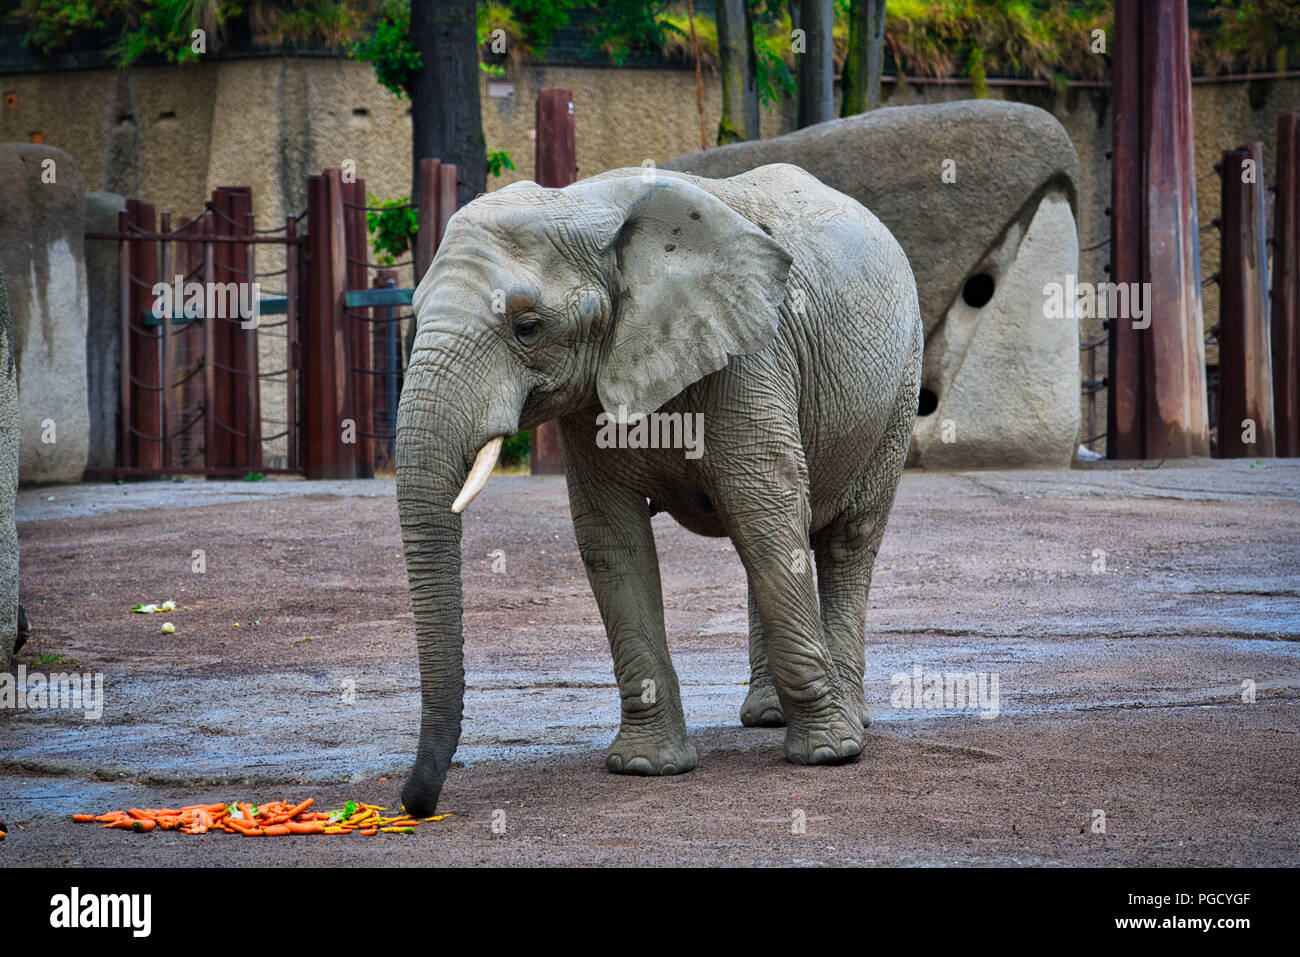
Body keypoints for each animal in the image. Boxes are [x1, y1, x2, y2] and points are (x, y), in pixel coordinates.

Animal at [397, 164, 925, 816]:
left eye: (527, 327)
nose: (415, 804)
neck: (585, 204)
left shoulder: (749, 359)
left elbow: (767, 512)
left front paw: (829, 755)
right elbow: (613, 540)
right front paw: (646, 768)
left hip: (900, 384)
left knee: (844, 538)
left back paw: (847, 723)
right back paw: (767, 716)